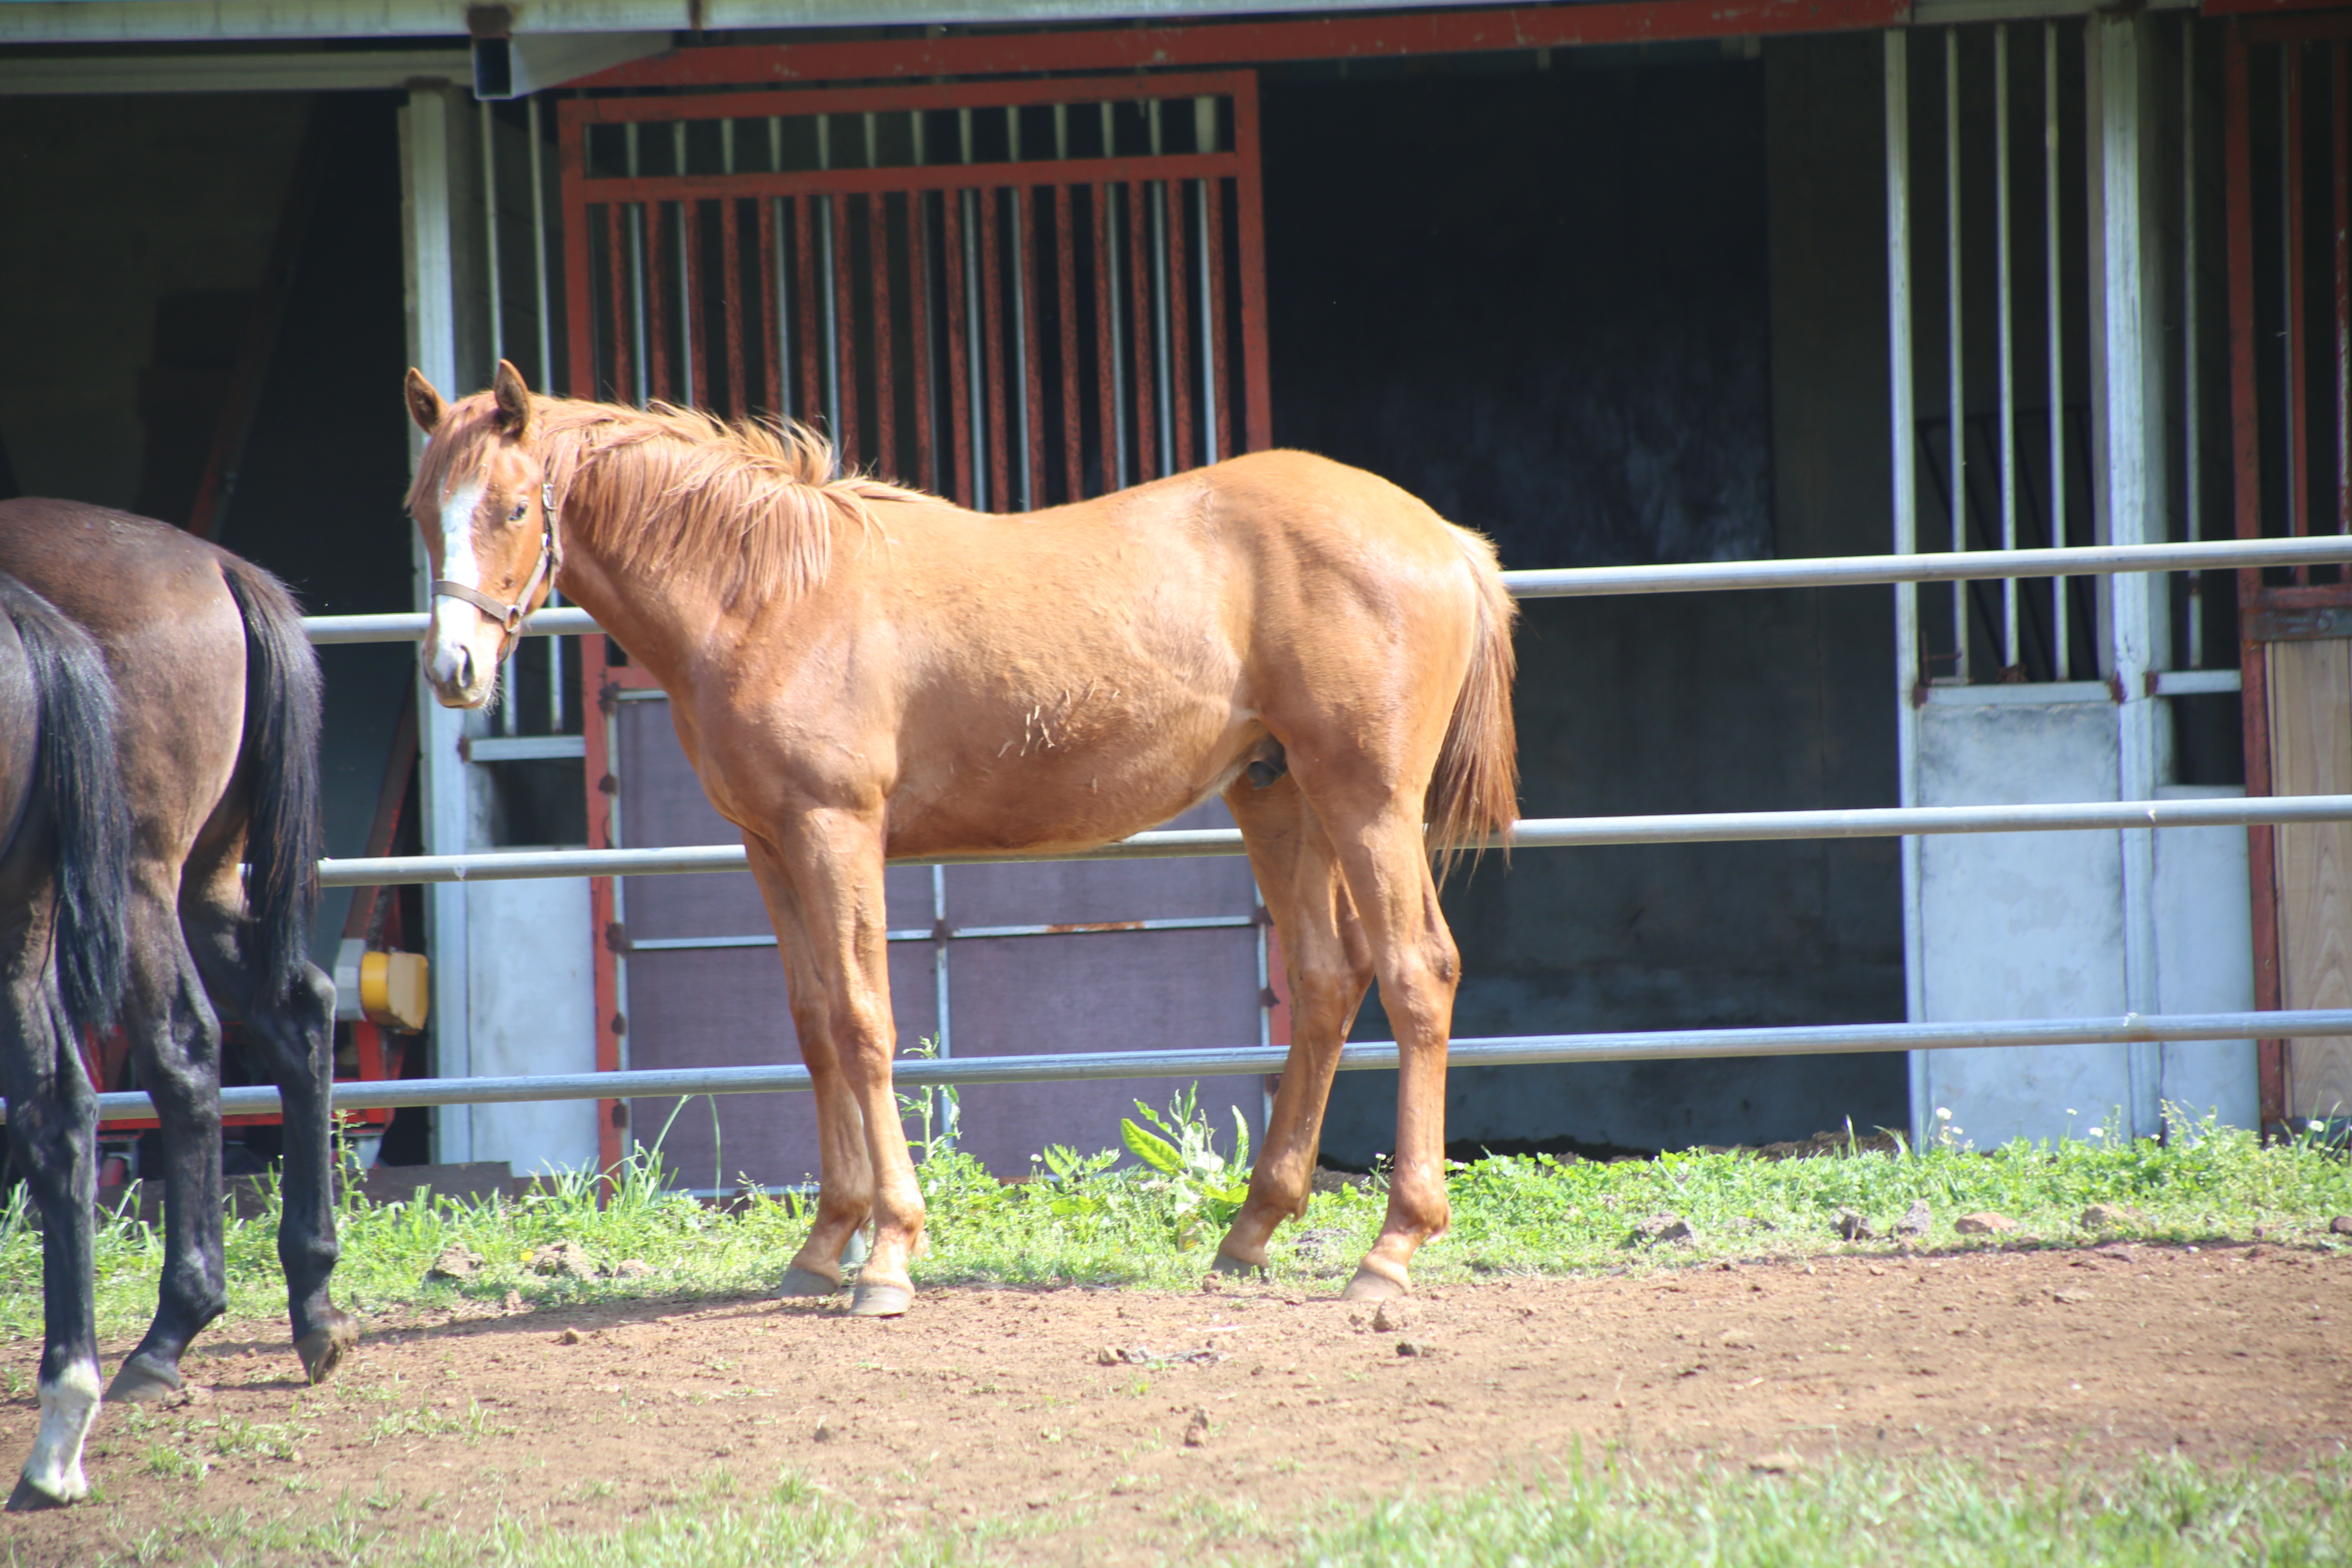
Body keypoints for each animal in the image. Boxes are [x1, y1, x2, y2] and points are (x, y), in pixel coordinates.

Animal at [0, 503, 353, 1504]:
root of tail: (222, 567)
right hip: (201, 883)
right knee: (297, 1014)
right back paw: (311, 1299)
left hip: (139, 879)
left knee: (183, 1052)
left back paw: (165, 1340)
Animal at [404, 362, 1515, 1316]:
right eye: (421, 509)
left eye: (513, 507)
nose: (454, 670)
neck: (769, 594)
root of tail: (1442, 537)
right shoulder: (770, 846)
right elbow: (814, 1027)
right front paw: (823, 1244)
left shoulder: (836, 829)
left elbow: (864, 1023)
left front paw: (888, 1254)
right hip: (1278, 797)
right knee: (1328, 980)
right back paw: (1248, 1235)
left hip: (1367, 800)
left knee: (1417, 972)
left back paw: (1389, 1250)